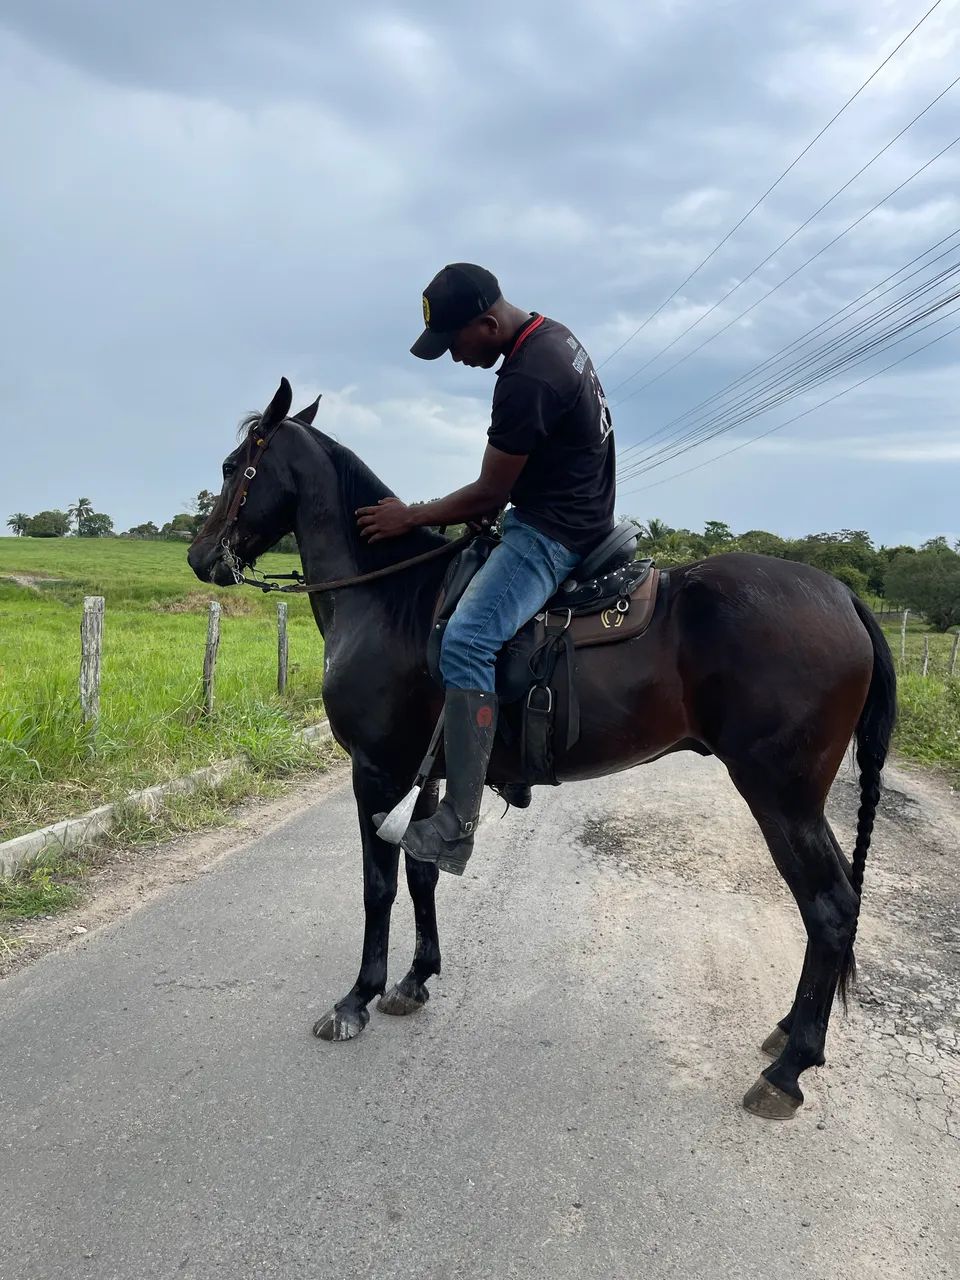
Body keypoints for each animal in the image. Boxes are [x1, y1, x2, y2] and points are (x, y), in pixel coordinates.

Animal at [187, 378, 896, 1120]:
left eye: (234, 467)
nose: (200, 556)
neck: (390, 597)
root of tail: (842, 594)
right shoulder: (428, 775)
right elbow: (421, 874)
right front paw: (415, 979)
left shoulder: (376, 772)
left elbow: (378, 887)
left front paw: (357, 998)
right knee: (836, 907)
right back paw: (790, 1031)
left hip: (781, 799)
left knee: (829, 908)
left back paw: (790, 1067)